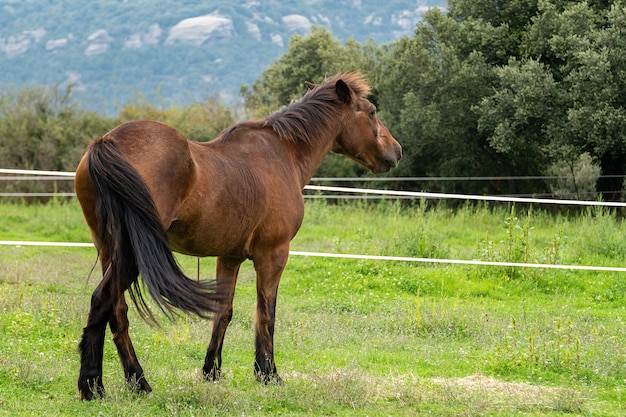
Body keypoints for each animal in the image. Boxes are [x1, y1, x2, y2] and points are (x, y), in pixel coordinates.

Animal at [73, 72, 402, 400]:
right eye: (372, 111)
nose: (397, 151)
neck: (284, 153)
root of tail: (107, 142)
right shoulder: (273, 254)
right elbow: (266, 313)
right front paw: (268, 373)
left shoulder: (228, 257)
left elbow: (224, 312)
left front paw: (211, 371)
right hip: (132, 253)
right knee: (102, 301)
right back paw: (97, 385)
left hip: (109, 249)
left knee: (117, 310)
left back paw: (129, 382)